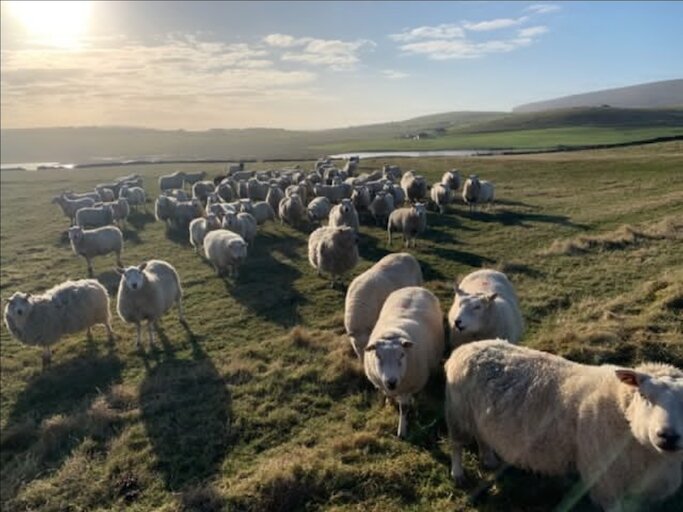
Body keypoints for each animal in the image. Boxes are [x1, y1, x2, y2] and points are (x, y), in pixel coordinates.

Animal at [366, 286, 446, 438]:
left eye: (402, 355)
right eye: (378, 356)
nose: (391, 382)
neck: (392, 333)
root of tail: (415, 287)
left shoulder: (408, 386)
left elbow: (404, 408)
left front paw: (401, 431)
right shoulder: (382, 384)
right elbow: (387, 395)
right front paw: (388, 404)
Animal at [444, 338, 683, 510]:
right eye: (643, 395)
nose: (668, 436)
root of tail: (468, 346)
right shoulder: (607, 484)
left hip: (476, 416)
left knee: (482, 436)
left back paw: (489, 459)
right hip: (457, 413)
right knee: (456, 445)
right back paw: (458, 474)